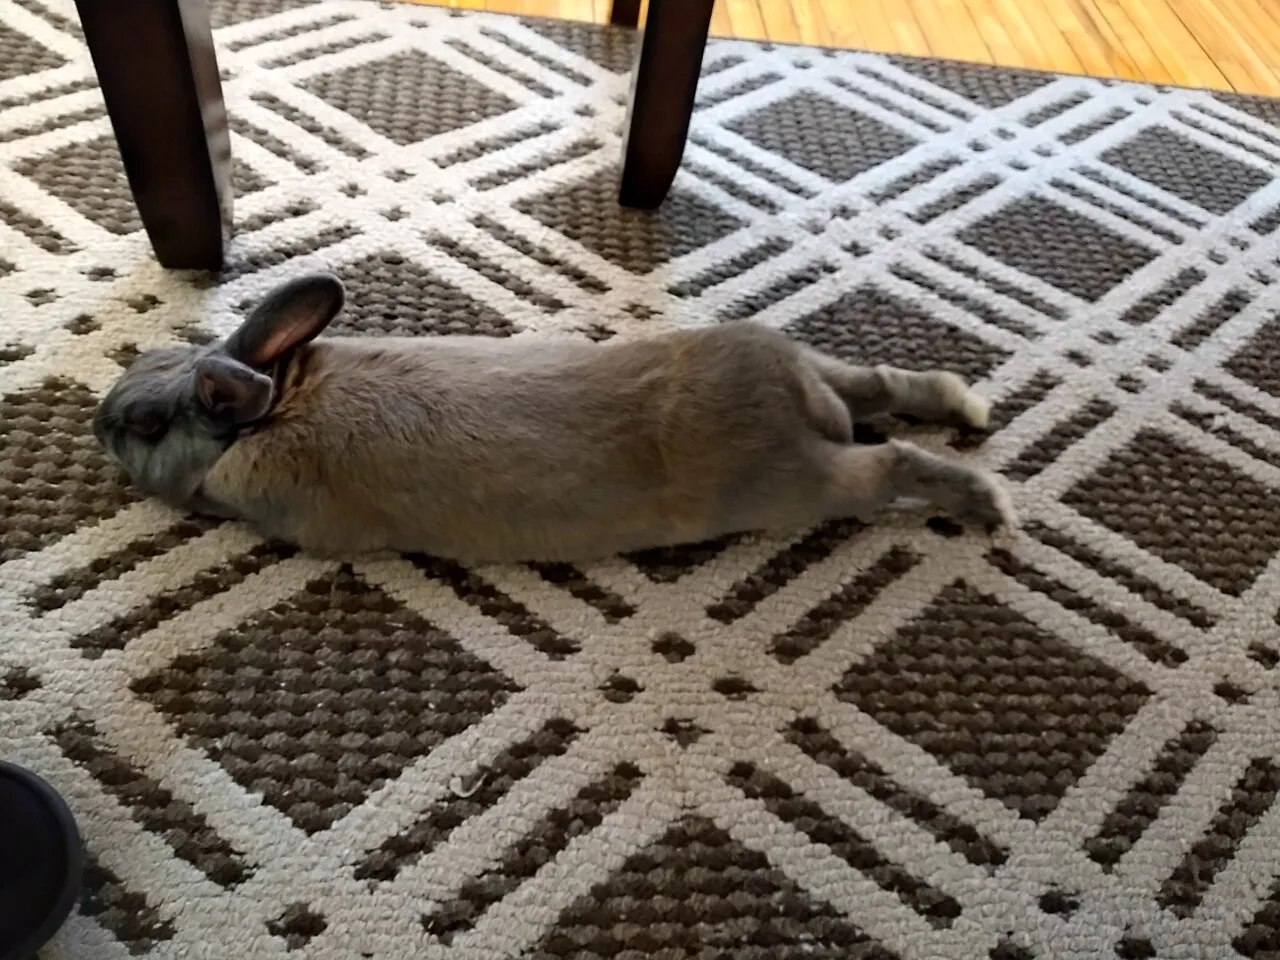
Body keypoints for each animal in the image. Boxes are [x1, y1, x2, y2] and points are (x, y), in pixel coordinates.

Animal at [93, 272, 1015, 563]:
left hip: (803, 482)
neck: (276, 408)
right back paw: (968, 404)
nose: (97, 424)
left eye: (145, 425)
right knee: (878, 383)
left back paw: (992, 505)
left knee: (891, 463)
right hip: (810, 370)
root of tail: (801, 402)